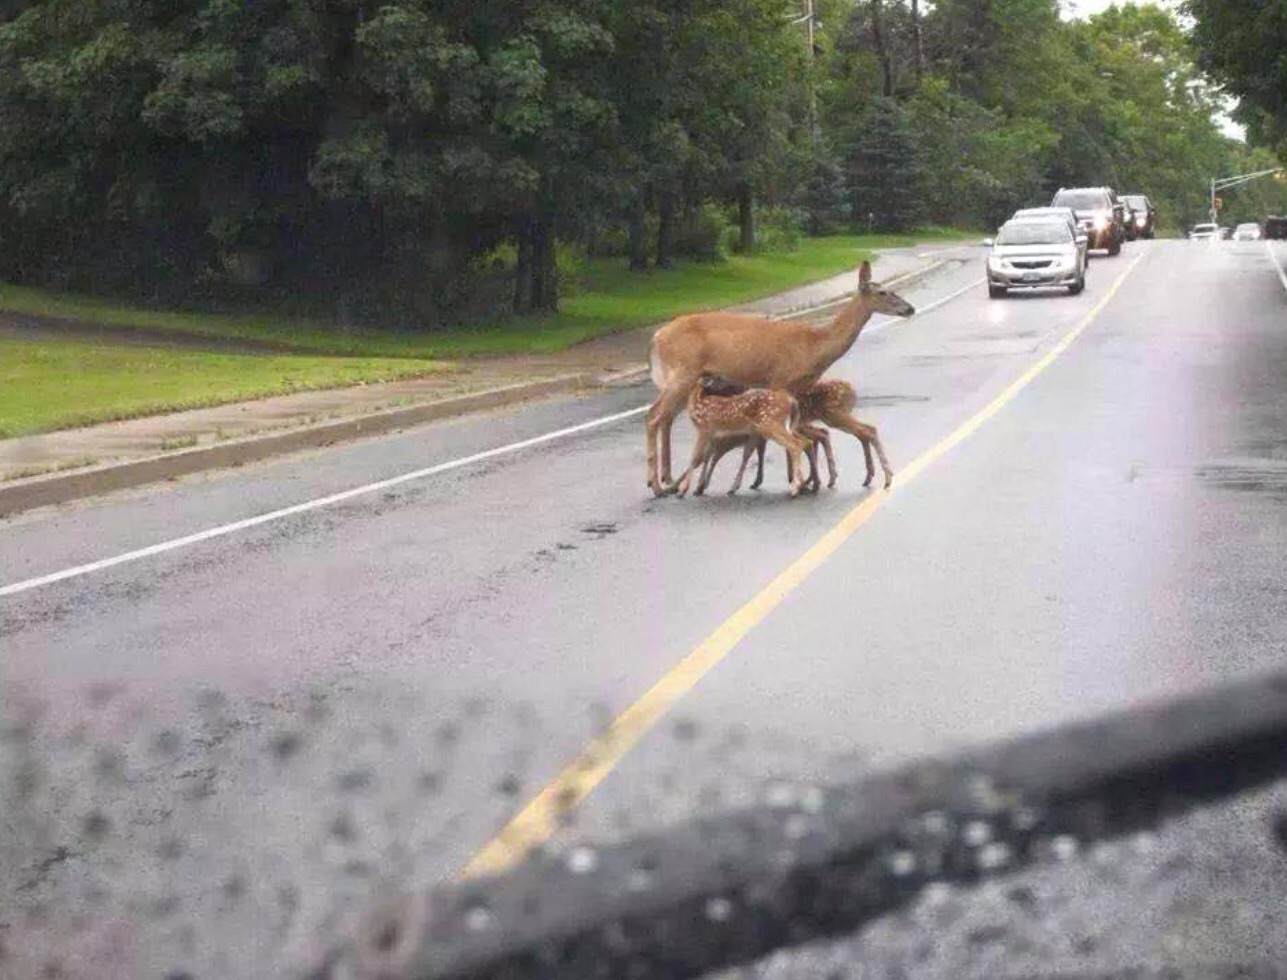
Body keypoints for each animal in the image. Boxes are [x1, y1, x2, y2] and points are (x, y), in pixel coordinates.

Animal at [648, 261, 911, 497]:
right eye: (883, 292)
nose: (910, 309)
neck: (814, 346)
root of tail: (657, 336)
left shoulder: (792, 390)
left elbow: (792, 435)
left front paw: (802, 481)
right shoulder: (781, 380)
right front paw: (798, 481)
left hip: (687, 378)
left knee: (666, 418)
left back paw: (668, 480)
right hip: (682, 372)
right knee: (654, 416)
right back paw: (658, 485)